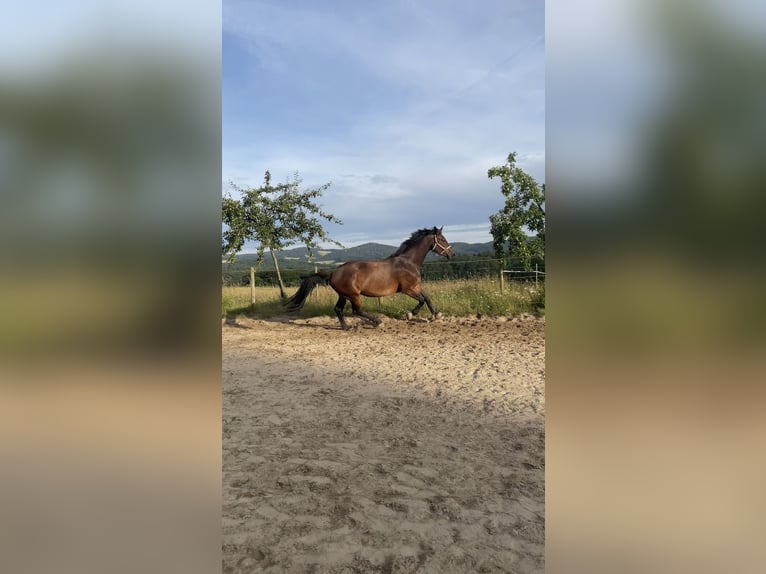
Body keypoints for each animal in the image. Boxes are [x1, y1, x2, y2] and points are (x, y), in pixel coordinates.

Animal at [286, 227, 456, 330]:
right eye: (442, 239)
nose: (452, 254)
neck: (408, 262)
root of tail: (334, 271)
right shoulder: (407, 289)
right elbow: (421, 300)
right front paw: (410, 314)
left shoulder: (416, 286)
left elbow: (427, 298)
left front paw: (436, 315)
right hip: (354, 295)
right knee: (357, 310)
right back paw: (377, 322)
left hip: (343, 295)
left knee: (339, 309)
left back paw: (346, 327)